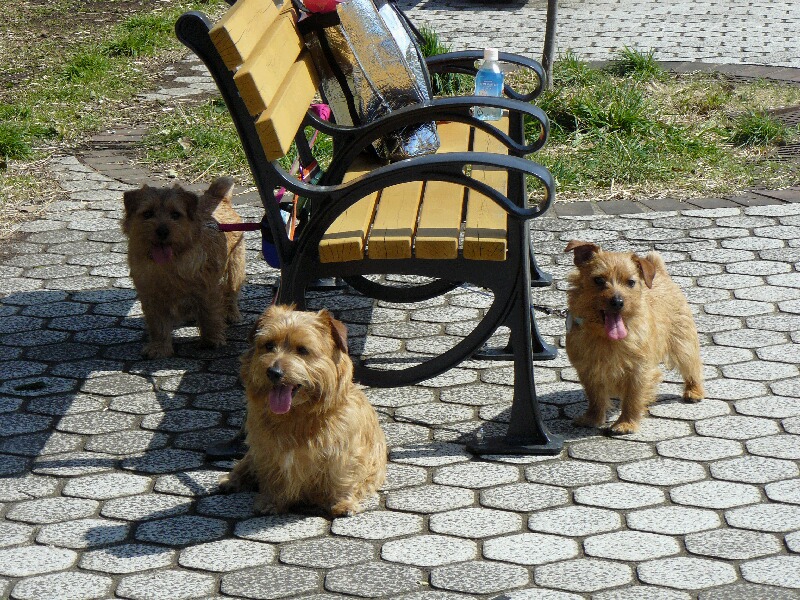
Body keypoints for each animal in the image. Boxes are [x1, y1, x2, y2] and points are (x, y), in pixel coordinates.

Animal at [122, 177, 245, 359]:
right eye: (147, 214)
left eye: (175, 215)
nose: (162, 231)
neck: (169, 265)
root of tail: (216, 197)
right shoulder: (151, 297)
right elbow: (158, 325)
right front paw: (159, 348)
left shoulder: (207, 291)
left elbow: (210, 316)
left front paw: (212, 340)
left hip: (235, 267)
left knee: (231, 292)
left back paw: (231, 313)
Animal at [221, 304, 387, 516]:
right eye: (269, 345)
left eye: (302, 350)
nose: (273, 372)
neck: (297, 415)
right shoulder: (266, 451)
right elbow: (271, 477)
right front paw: (270, 501)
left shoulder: (344, 453)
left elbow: (342, 477)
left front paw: (342, 503)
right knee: (245, 464)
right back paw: (230, 480)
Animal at [563, 240, 704, 434]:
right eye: (599, 280)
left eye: (631, 282)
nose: (617, 301)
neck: (607, 338)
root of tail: (660, 272)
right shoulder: (588, 370)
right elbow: (594, 397)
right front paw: (592, 418)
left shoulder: (639, 371)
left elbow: (633, 398)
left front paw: (626, 423)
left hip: (683, 343)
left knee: (692, 366)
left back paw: (694, 391)